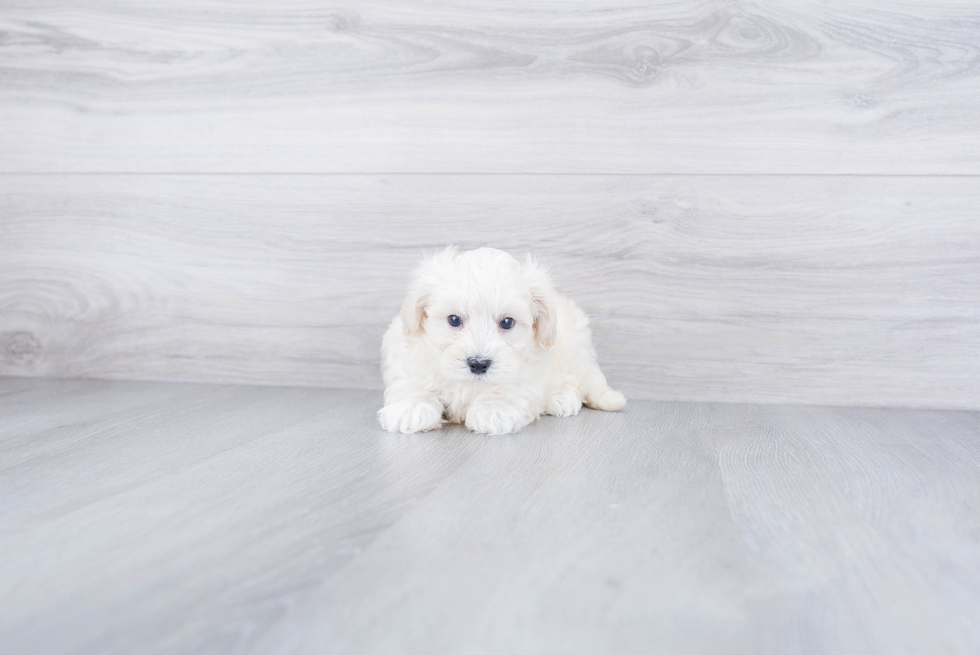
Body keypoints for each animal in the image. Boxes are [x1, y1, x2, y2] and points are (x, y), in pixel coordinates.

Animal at [378, 246, 624, 436]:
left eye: (507, 322)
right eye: (454, 319)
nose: (478, 364)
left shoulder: (528, 371)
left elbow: (509, 388)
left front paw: (493, 409)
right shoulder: (409, 351)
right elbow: (412, 381)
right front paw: (411, 406)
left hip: (576, 346)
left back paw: (561, 397)